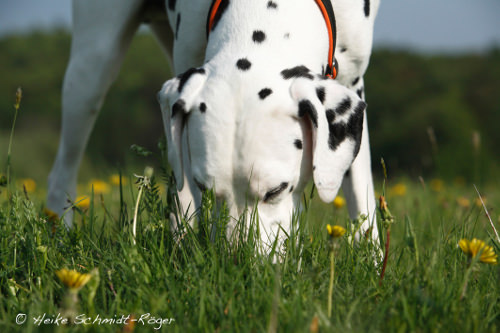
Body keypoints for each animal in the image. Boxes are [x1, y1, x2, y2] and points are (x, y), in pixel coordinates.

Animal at [48, 0, 380, 250]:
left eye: (275, 191)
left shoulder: (352, 83)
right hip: (92, 66)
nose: (241, 269)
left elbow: (362, 200)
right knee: (63, 169)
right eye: (205, 187)